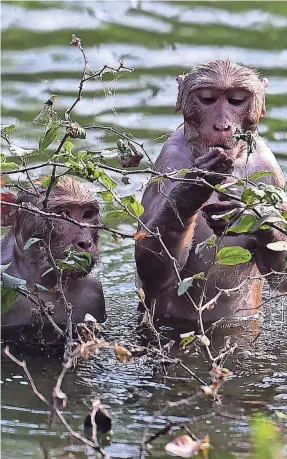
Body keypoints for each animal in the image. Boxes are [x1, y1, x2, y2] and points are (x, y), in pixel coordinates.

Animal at [136, 59, 287, 324]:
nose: (222, 126)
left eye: (237, 100)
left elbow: (281, 276)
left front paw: (251, 215)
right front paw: (194, 187)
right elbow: (152, 270)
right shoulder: (169, 159)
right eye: (207, 99)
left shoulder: (271, 171)